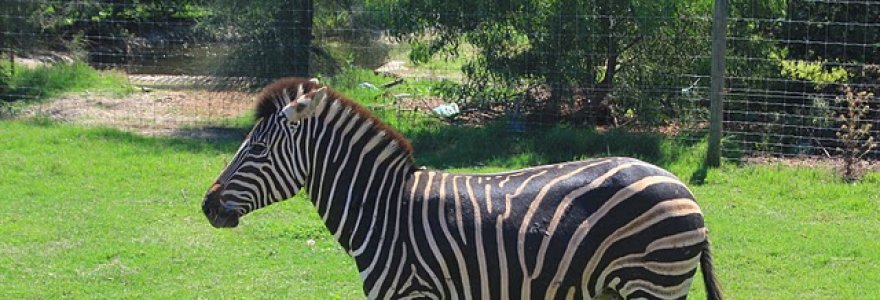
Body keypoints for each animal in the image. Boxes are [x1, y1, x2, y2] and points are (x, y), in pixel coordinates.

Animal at [201, 78, 720, 300]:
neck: (383, 209)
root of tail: (680, 184)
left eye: (257, 149)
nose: (207, 205)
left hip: (652, 281)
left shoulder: (411, 295)